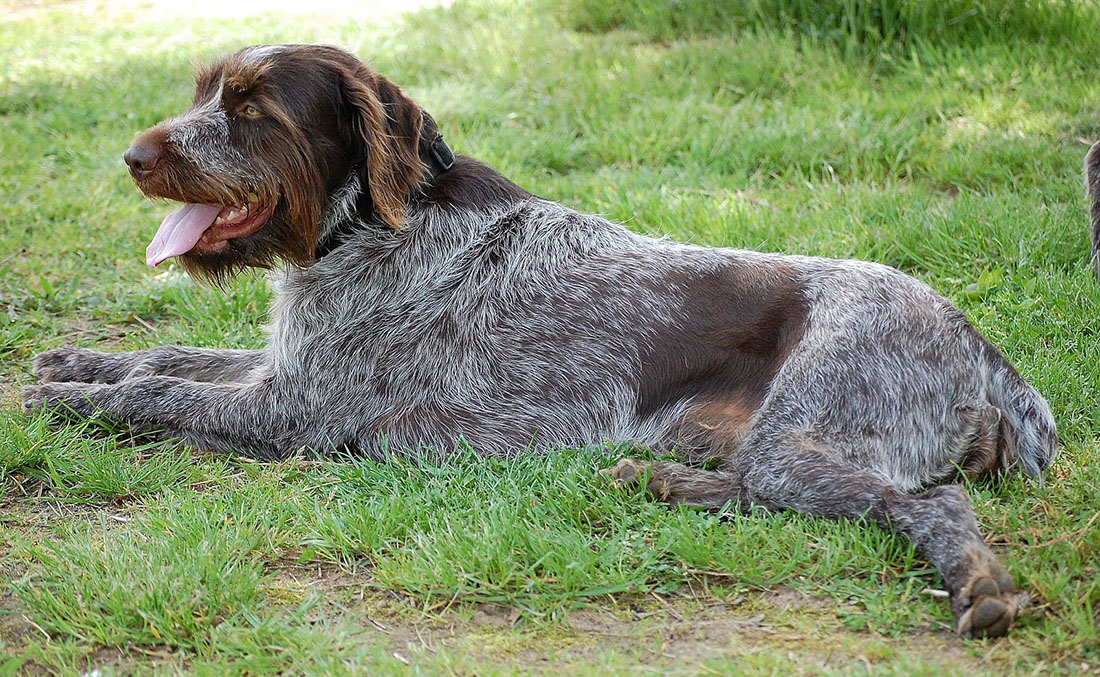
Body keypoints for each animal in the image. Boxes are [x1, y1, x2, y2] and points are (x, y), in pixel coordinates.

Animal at [23, 43, 1056, 642]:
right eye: (203, 92)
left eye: (250, 111)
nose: (133, 158)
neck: (369, 224)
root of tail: (979, 344)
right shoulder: (288, 369)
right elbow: (163, 359)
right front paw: (75, 364)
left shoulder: (296, 410)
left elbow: (158, 390)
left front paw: (73, 398)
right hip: (744, 439)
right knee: (769, 492)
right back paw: (655, 481)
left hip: (810, 427)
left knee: (927, 503)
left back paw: (981, 586)